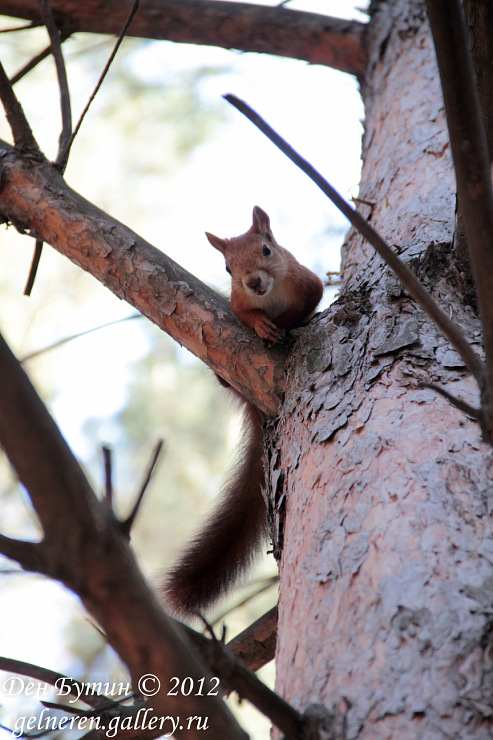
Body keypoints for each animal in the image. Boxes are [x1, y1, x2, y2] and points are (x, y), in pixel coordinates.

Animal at [161, 205, 322, 616]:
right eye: (228, 268)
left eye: (266, 249)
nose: (252, 282)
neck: (272, 293)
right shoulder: (239, 303)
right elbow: (245, 315)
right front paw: (262, 325)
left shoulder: (308, 283)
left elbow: (306, 305)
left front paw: (282, 323)